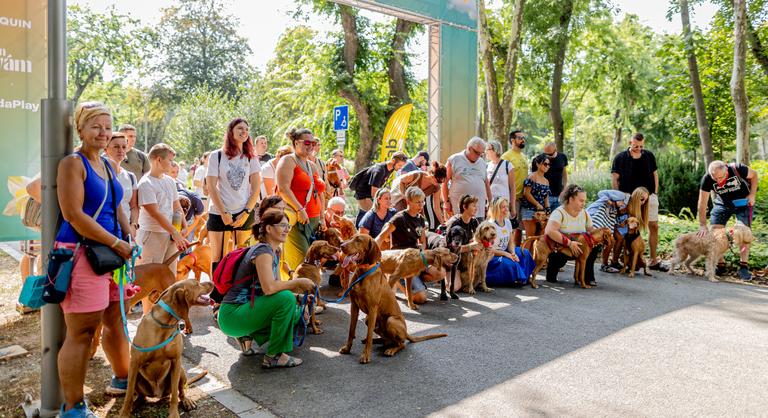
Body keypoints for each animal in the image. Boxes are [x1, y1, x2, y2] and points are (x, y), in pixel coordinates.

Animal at [118, 278, 213, 418]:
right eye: (196, 283)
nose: (212, 282)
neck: (165, 324)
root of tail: (157, 394)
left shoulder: (176, 361)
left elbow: (174, 395)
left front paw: (174, 414)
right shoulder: (134, 363)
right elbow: (128, 395)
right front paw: (125, 413)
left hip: (181, 371)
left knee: (180, 391)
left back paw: (187, 401)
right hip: (134, 376)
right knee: (141, 397)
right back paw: (134, 405)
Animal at [340, 233, 448, 364]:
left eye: (358, 240)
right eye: (351, 237)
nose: (341, 246)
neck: (362, 272)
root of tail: (406, 333)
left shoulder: (372, 308)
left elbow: (369, 334)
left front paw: (365, 355)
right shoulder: (354, 306)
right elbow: (351, 331)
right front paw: (347, 348)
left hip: (390, 320)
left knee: (401, 344)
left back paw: (391, 350)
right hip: (368, 319)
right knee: (387, 340)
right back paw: (376, 341)